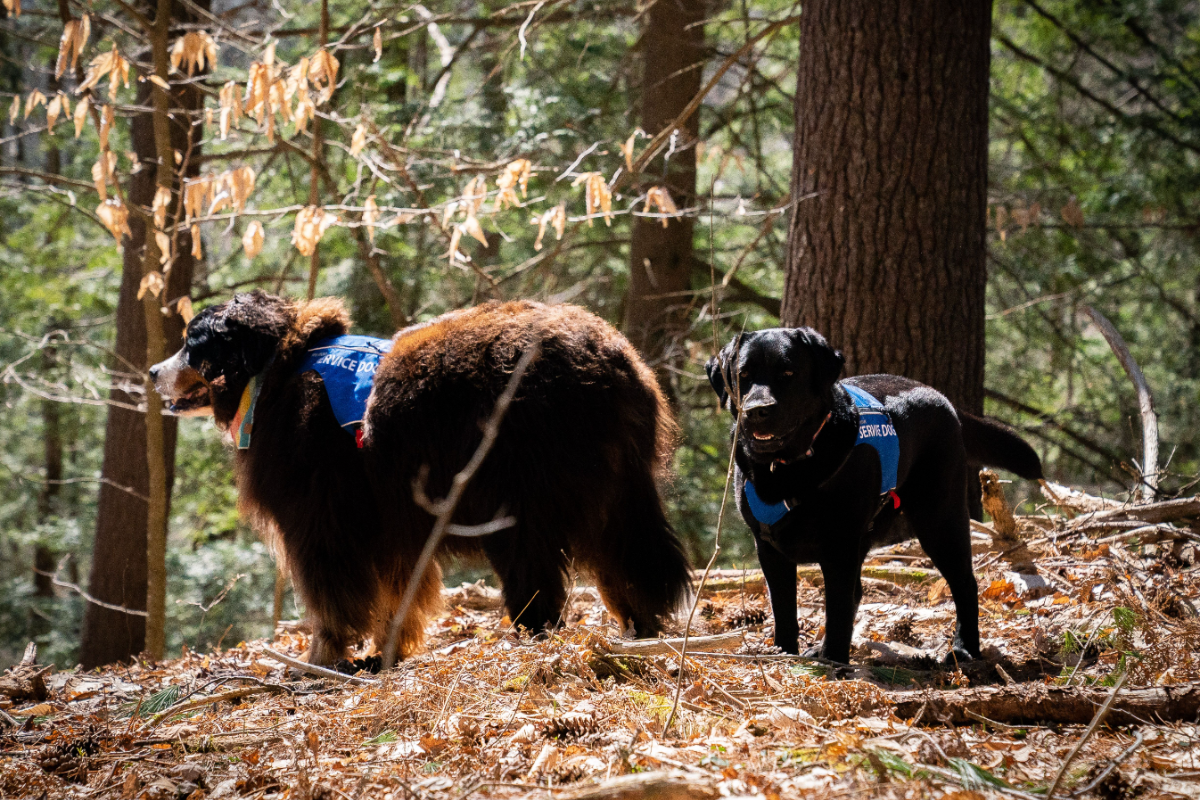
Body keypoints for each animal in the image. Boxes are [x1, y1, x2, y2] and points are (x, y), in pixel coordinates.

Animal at [153, 292, 691, 662]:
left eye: (192, 346)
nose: (154, 371)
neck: (272, 373)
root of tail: (611, 359)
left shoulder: (319, 516)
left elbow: (332, 594)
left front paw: (323, 656)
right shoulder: (388, 523)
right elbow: (397, 594)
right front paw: (386, 649)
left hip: (519, 491)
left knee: (539, 572)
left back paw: (535, 633)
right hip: (616, 488)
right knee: (630, 557)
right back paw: (641, 627)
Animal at [705, 328, 1046, 666]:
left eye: (787, 373)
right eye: (743, 375)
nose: (757, 410)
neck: (789, 467)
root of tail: (942, 397)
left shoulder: (840, 545)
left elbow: (837, 609)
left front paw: (835, 662)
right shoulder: (769, 547)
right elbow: (785, 609)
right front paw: (784, 654)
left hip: (939, 519)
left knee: (965, 582)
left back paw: (965, 649)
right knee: (858, 591)